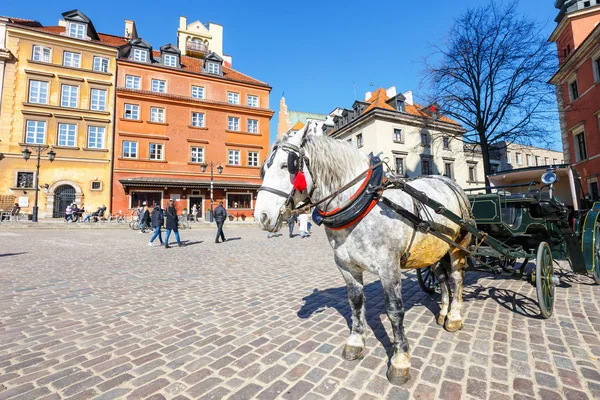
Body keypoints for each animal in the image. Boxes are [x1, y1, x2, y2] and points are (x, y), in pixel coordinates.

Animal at [252, 122, 468, 384]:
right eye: (264, 168)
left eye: (287, 165)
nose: (261, 217)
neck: (363, 202)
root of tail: (449, 182)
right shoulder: (346, 266)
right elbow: (355, 302)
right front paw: (356, 342)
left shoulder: (389, 267)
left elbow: (395, 311)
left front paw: (400, 360)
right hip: (433, 250)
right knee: (442, 278)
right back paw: (444, 311)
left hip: (457, 245)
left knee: (455, 279)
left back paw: (454, 317)